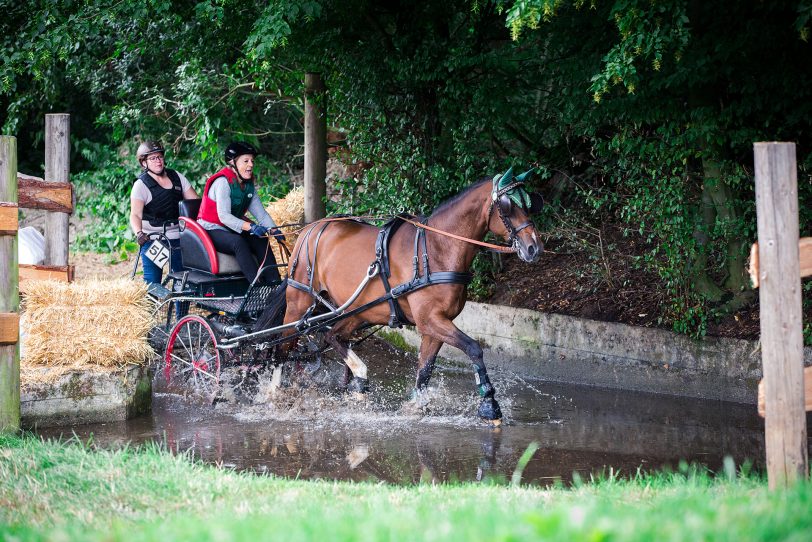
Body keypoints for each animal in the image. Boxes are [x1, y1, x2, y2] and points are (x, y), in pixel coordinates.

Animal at [276, 168, 544, 422]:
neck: (436, 249)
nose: (534, 247)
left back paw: (360, 378)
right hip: (299, 304)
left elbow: (425, 369)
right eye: (508, 206)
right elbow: (473, 348)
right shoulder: (430, 320)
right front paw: (489, 402)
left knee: (333, 336)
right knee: (282, 348)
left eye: (529, 203)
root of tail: (309, 229)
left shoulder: (434, 325)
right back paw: (274, 393)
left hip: (356, 311)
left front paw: (416, 405)